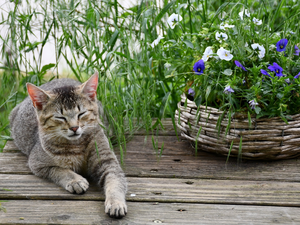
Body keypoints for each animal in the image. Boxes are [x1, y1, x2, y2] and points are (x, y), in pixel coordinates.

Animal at [8, 73, 127, 219]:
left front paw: (116, 202)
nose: (74, 127)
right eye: (60, 117)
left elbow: (115, 181)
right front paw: (75, 180)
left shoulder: (108, 161)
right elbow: (60, 170)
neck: (76, 146)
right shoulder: (37, 164)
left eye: (82, 113)